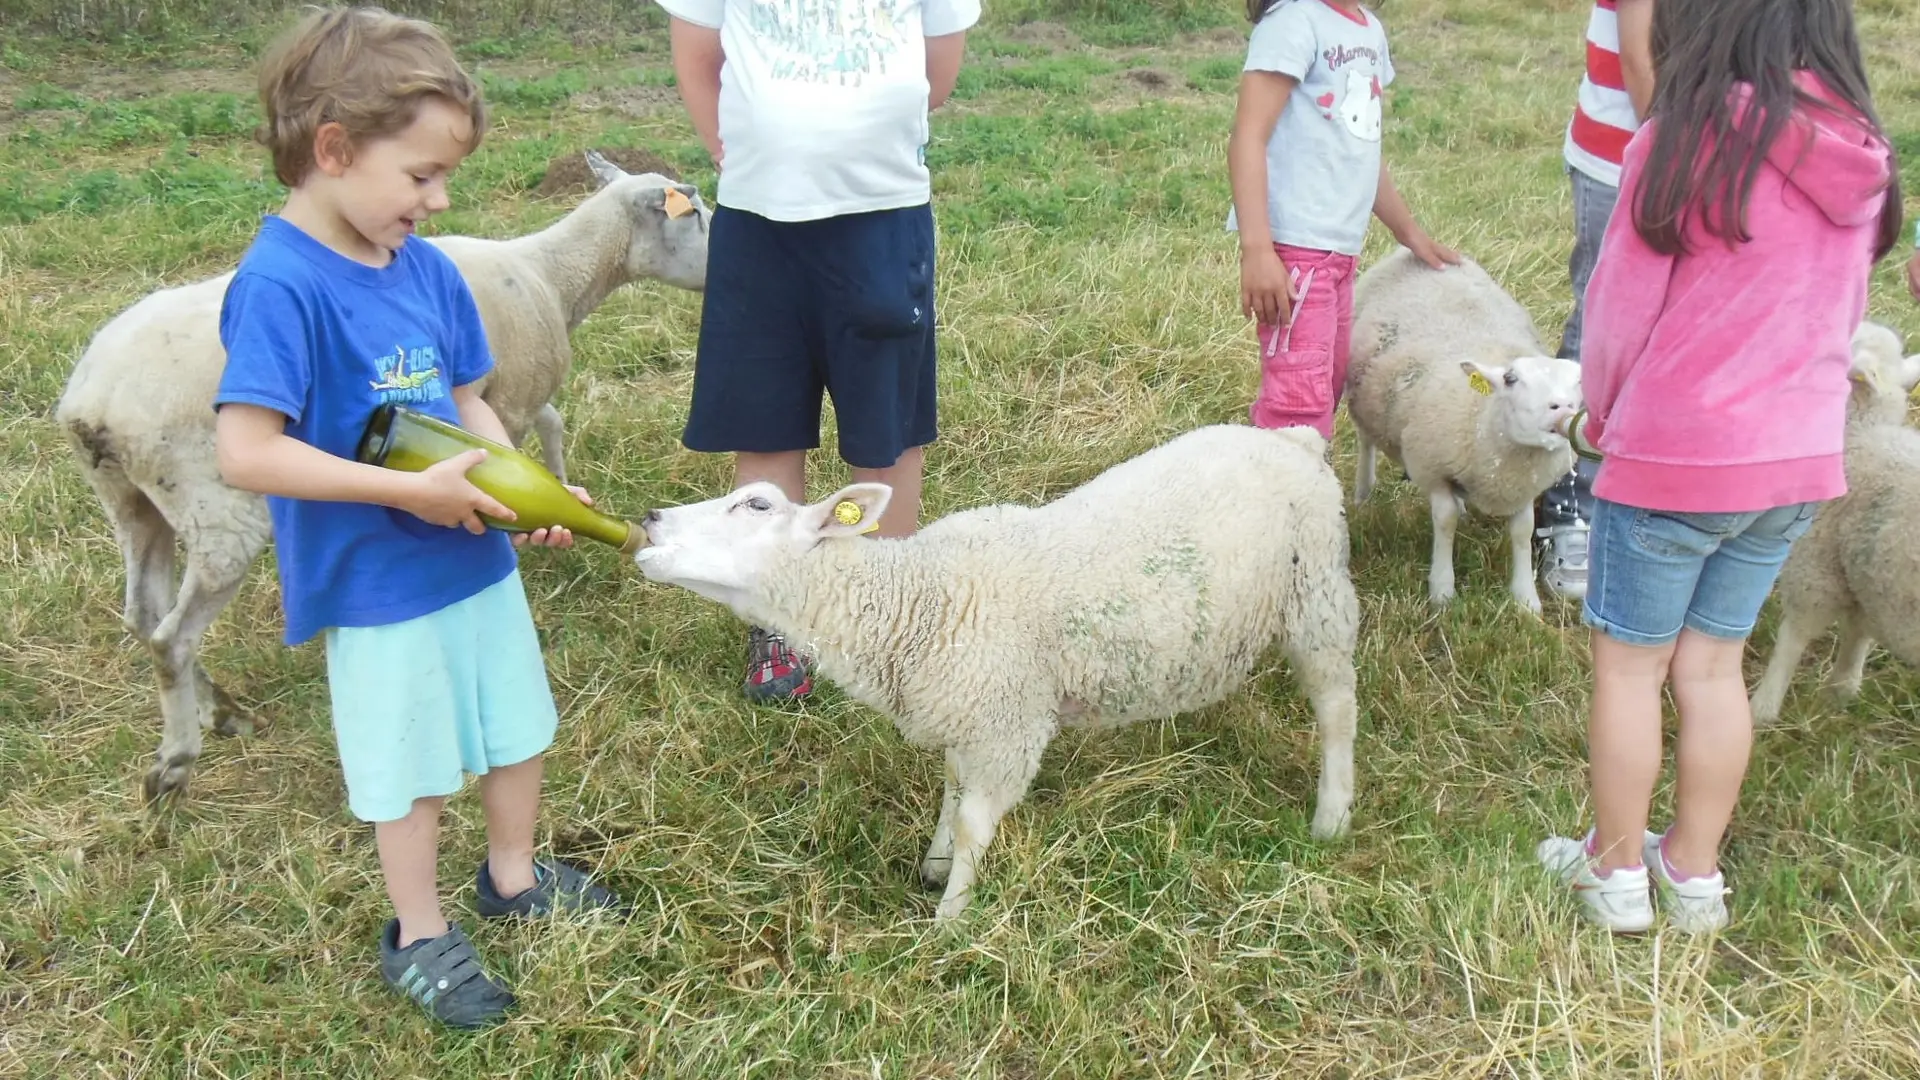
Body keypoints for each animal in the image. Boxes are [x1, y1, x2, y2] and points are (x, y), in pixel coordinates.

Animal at [56, 151, 714, 799]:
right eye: (700, 216)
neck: (552, 275)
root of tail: (92, 401)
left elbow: (551, 427)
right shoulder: (510, 399)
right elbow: (536, 438)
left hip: (131, 500)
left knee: (144, 617)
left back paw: (222, 711)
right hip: (217, 509)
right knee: (171, 637)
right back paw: (177, 757)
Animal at [629, 420, 1367, 914]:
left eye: (757, 505)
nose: (650, 516)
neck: (921, 598)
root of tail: (1294, 440)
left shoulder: (1008, 724)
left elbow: (974, 825)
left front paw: (951, 919)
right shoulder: (968, 712)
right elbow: (951, 792)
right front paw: (933, 864)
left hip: (1318, 594)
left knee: (1337, 708)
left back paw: (1331, 817)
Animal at [1344, 245, 1582, 614]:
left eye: (1577, 383)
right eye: (1511, 379)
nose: (1564, 408)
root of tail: (1405, 252)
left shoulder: (1524, 486)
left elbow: (1522, 530)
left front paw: (1525, 599)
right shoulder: (1432, 468)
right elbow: (1445, 520)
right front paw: (1442, 591)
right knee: (1366, 439)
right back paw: (1363, 493)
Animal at [1758, 319, 1920, 722]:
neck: (1861, 437)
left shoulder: (1817, 564)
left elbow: (1795, 635)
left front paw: (1762, 709)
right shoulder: (1868, 572)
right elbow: (1860, 630)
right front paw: (1843, 689)